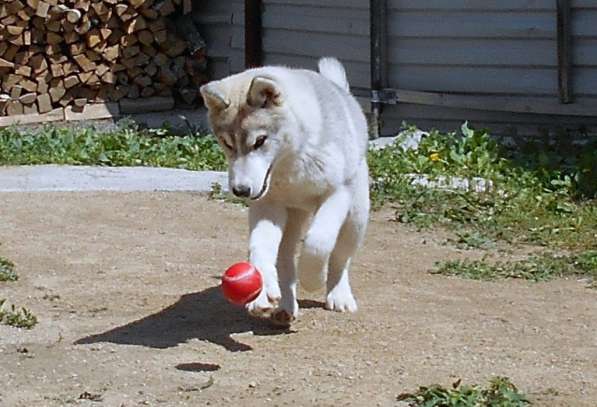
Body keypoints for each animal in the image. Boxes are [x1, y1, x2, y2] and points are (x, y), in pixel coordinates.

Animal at [200, 58, 368, 326]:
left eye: (260, 141)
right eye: (227, 143)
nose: (241, 190)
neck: (292, 162)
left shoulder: (338, 193)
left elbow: (318, 241)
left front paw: (313, 278)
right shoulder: (268, 205)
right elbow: (259, 247)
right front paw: (261, 295)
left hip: (356, 217)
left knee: (340, 258)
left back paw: (338, 294)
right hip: (291, 220)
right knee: (285, 261)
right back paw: (284, 306)